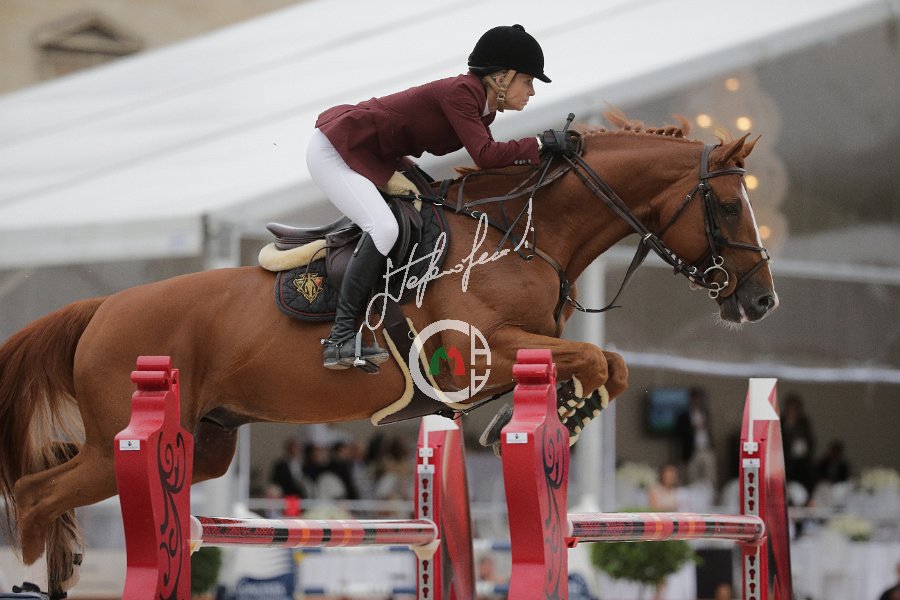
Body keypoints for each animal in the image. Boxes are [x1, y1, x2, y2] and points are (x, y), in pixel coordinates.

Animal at [0, 113, 777, 596]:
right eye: (728, 207)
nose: (762, 300)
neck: (519, 234)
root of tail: (102, 308)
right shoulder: (480, 353)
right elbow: (591, 357)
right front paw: (542, 420)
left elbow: (607, 366)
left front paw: (549, 417)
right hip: (116, 445)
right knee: (34, 496)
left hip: (206, 444)